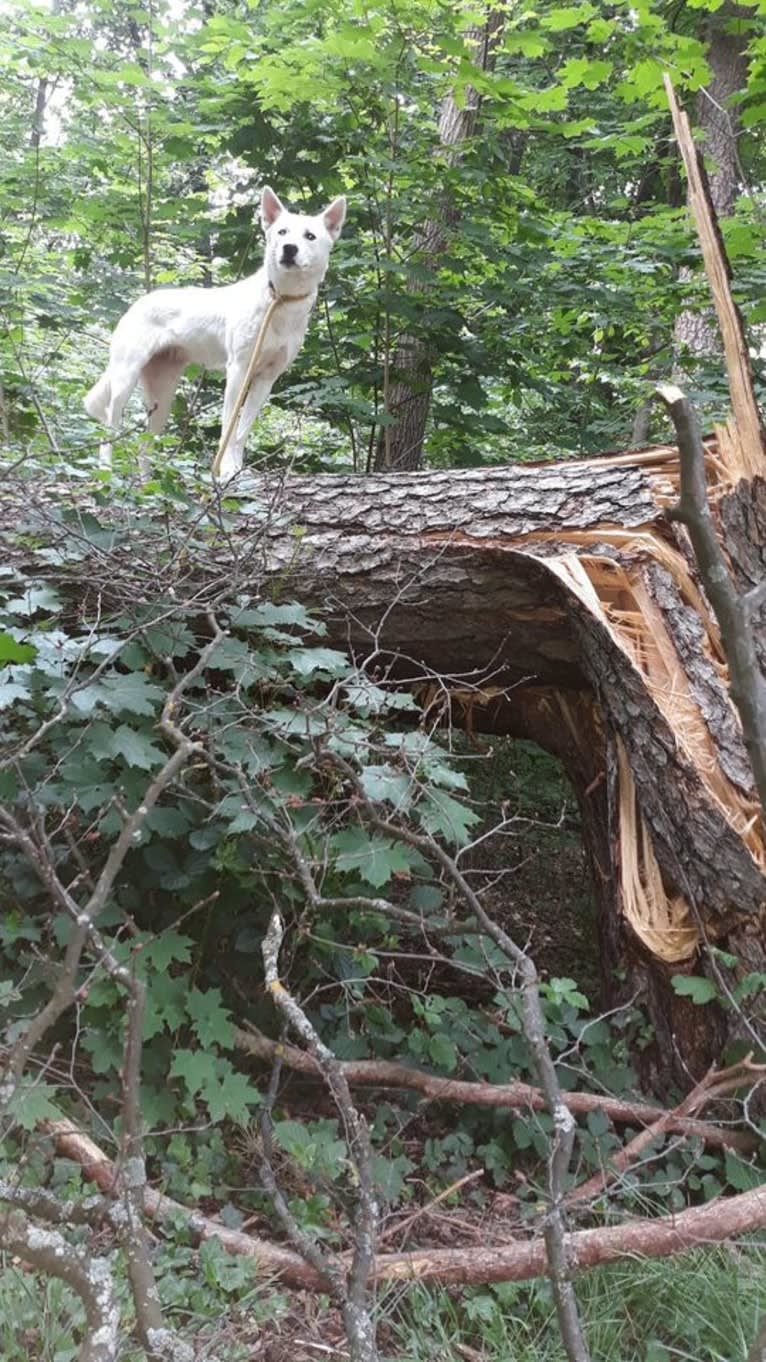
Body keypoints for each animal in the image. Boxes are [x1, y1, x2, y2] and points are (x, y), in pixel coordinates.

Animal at [84, 185, 346, 484]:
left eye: (309, 236)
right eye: (282, 232)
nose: (289, 249)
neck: (278, 300)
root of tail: (137, 304)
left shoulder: (266, 379)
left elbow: (242, 432)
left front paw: (238, 471)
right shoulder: (238, 372)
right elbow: (228, 430)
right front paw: (225, 472)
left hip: (162, 397)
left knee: (144, 445)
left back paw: (147, 484)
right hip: (125, 379)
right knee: (110, 427)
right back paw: (106, 472)